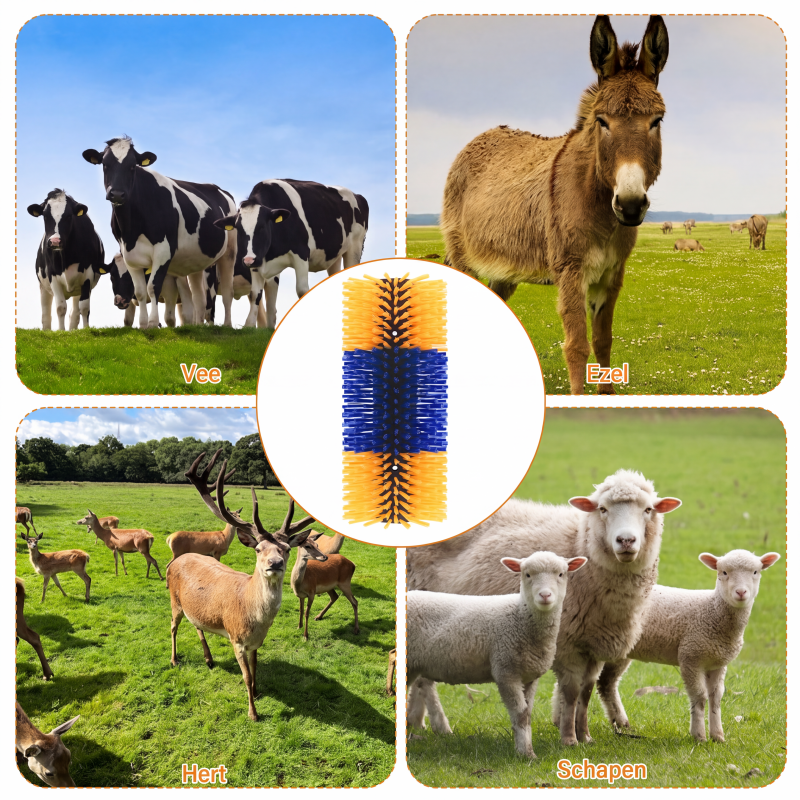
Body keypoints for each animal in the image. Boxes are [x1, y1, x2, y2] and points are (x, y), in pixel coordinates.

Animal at [27, 190, 105, 330]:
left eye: (69, 216)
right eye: (45, 216)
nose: (55, 241)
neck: (66, 258)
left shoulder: (88, 276)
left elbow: (84, 308)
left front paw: (86, 330)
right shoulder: (52, 276)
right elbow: (60, 307)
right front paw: (61, 331)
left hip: (78, 289)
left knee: (75, 312)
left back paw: (73, 330)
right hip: (43, 287)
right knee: (46, 314)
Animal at [82, 137, 237, 329]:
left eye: (132, 166)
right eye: (105, 164)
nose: (117, 194)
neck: (132, 230)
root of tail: (218, 188)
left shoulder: (164, 251)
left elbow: (152, 287)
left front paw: (153, 323)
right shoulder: (128, 255)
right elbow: (140, 292)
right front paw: (142, 325)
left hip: (229, 252)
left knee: (227, 292)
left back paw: (227, 325)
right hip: (197, 261)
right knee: (198, 296)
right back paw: (198, 326)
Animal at [213, 179, 369, 327]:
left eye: (262, 227)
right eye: (238, 229)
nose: (248, 260)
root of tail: (358, 196)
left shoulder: (301, 254)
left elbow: (302, 290)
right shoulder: (257, 261)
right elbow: (255, 294)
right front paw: (251, 325)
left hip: (355, 246)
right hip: (334, 256)